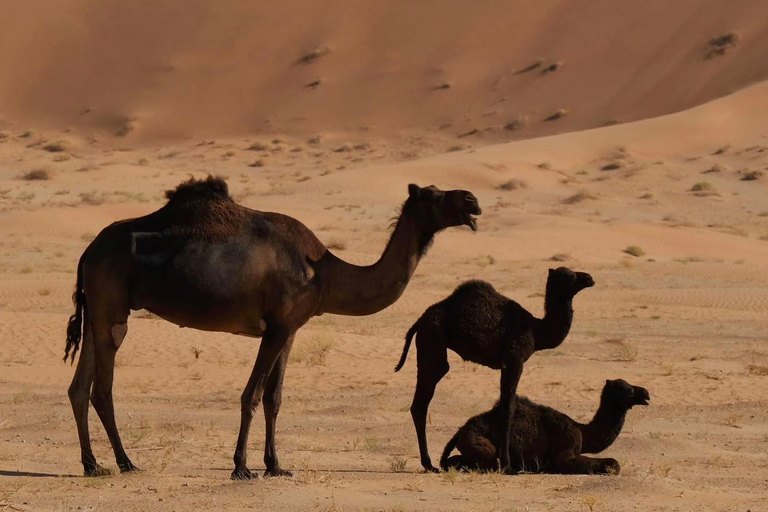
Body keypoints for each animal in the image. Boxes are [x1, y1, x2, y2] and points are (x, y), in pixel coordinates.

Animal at [64, 176, 480, 480]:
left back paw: (92, 465)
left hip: (98, 307)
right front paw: (242, 467)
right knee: (102, 387)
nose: (472, 199)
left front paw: (276, 466)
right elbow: (252, 394)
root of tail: (87, 252)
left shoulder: (291, 329)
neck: (325, 273)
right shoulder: (276, 327)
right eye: (433, 195)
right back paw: (125, 462)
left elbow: (274, 398)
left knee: (78, 387)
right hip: (112, 306)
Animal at [396, 268, 592, 472]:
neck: (536, 330)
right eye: (569, 275)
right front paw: (507, 465)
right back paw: (429, 464)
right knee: (425, 395)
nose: (589, 278)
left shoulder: (509, 364)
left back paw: (429, 463)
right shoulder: (514, 360)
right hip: (432, 337)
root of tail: (420, 320)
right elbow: (507, 409)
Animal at [440, 378, 652, 474]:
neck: (582, 431)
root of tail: (460, 431)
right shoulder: (566, 451)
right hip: (479, 442)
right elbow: (613, 463)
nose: (646, 393)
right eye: (626, 389)